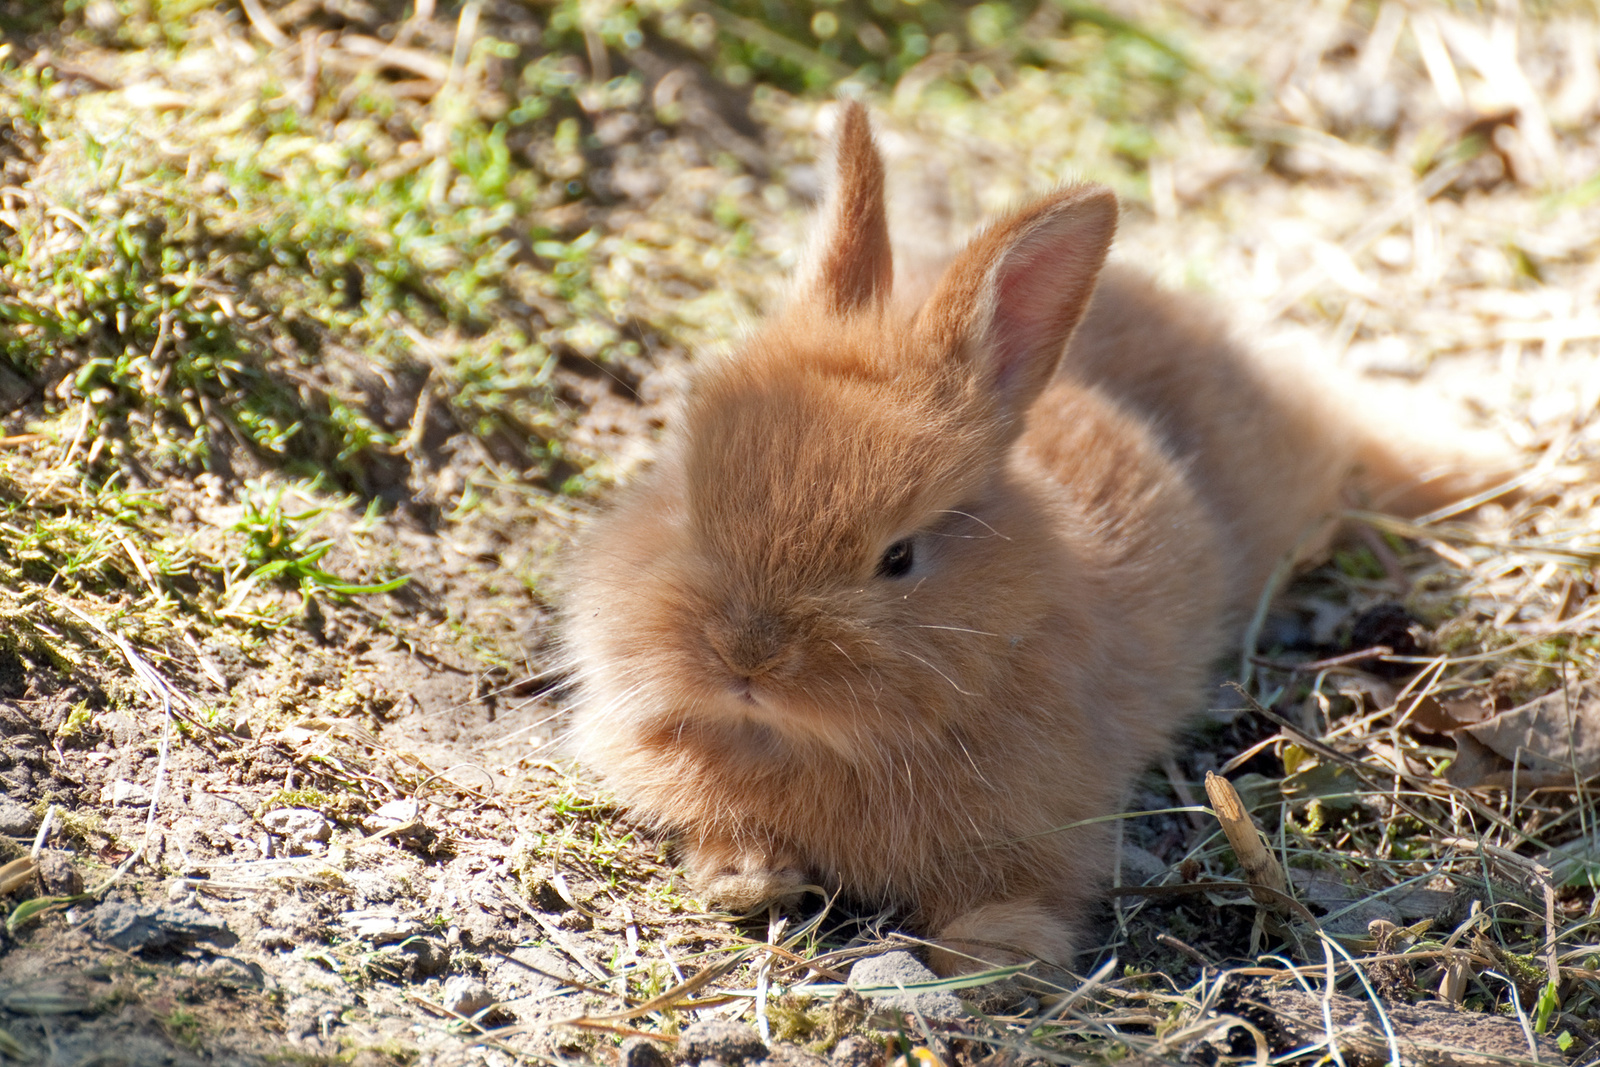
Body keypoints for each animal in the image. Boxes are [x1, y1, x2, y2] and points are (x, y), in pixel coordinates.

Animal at [560, 102, 1510, 979]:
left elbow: (1030, 893)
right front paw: (748, 879)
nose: (745, 656)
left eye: (899, 557)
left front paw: (994, 952)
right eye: (687, 494)